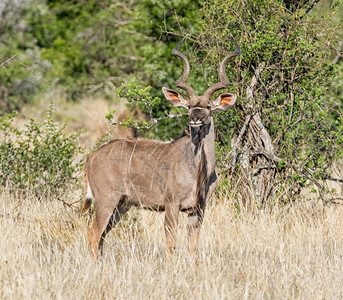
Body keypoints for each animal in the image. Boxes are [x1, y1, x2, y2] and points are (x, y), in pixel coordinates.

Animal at [82, 37, 241, 258]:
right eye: (189, 106)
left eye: (208, 106)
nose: (195, 119)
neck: (198, 170)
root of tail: (90, 157)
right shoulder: (171, 205)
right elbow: (171, 244)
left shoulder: (198, 210)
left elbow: (192, 246)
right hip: (107, 200)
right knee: (93, 234)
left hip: (121, 205)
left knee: (102, 237)